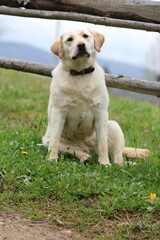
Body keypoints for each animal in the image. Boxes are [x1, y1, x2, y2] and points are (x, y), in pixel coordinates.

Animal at [42, 29, 151, 166]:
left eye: (85, 36)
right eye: (69, 39)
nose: (81, 45)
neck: (80, 73)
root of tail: (89, 149)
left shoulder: (101, 113)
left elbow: (103, 144)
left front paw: (104, 163)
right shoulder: (58, 112)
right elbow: (55, 141)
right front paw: (51, 160)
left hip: (114, 126)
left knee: (118, 159)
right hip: (46, 140)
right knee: (73, 149)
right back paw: (85, 157)